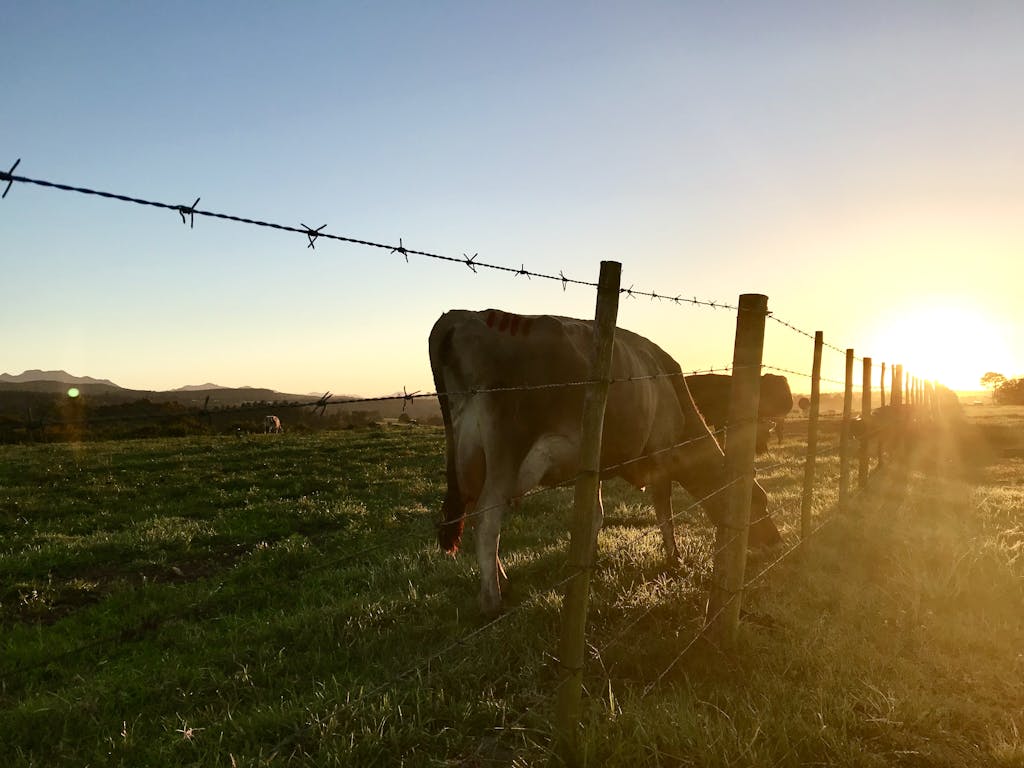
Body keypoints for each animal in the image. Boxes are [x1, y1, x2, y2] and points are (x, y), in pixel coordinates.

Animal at [428, 309, 778, 618]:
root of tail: (458, 317)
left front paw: (589, 560)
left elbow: (595, 516)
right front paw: (675, 558)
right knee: (487, 521)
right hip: (506, 449)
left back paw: (502, 581)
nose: (775, 541)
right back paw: (492, 600)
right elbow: (664, 512)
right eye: (759, 504)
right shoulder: (661, 453)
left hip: (469, 458)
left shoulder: (593, 466)